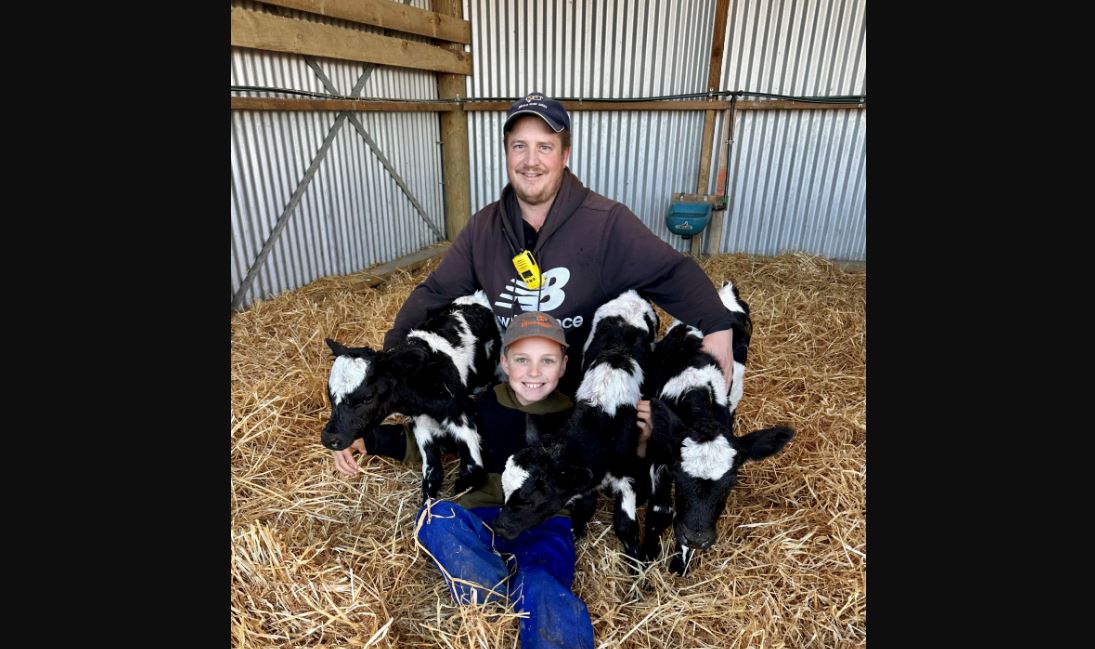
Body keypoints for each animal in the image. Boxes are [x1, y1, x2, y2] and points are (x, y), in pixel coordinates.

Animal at [319, 293, 501, 501]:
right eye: (330, 395)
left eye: (367, 398)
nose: (329, 438)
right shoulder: (422, 426)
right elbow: (432, 475)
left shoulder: (462, 418)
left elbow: (470, 475)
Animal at [497, 288, 657, 569]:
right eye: (504, 491)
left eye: (530, 499)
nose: (500, 527)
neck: (601, 423)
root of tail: (632, 294)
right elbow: (585, 506)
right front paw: (577, 531)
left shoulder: (626, 475)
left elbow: (625, 526)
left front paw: (638, 570)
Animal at [643, 280, 792, 573]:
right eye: (678, 475)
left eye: (731, 482)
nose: (697, 538)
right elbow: (660, 510)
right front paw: (644, 562)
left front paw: (680, 563)